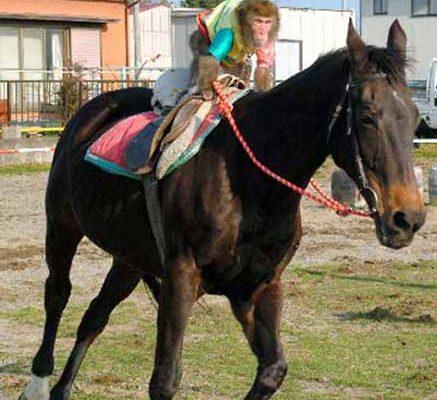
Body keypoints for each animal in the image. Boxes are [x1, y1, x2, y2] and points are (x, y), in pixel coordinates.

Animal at [19, 21, 422, 400]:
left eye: (416, 118)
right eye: (367, 115)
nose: (408, 218)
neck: (248, 181)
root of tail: (89, 111)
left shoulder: (257, 287)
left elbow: (272, 370)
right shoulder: (181, 276)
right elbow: (165, 381)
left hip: (129, 258)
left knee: (95, 316)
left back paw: (62, 389)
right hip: (62, 227)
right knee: (58, 293)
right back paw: (38, 383)